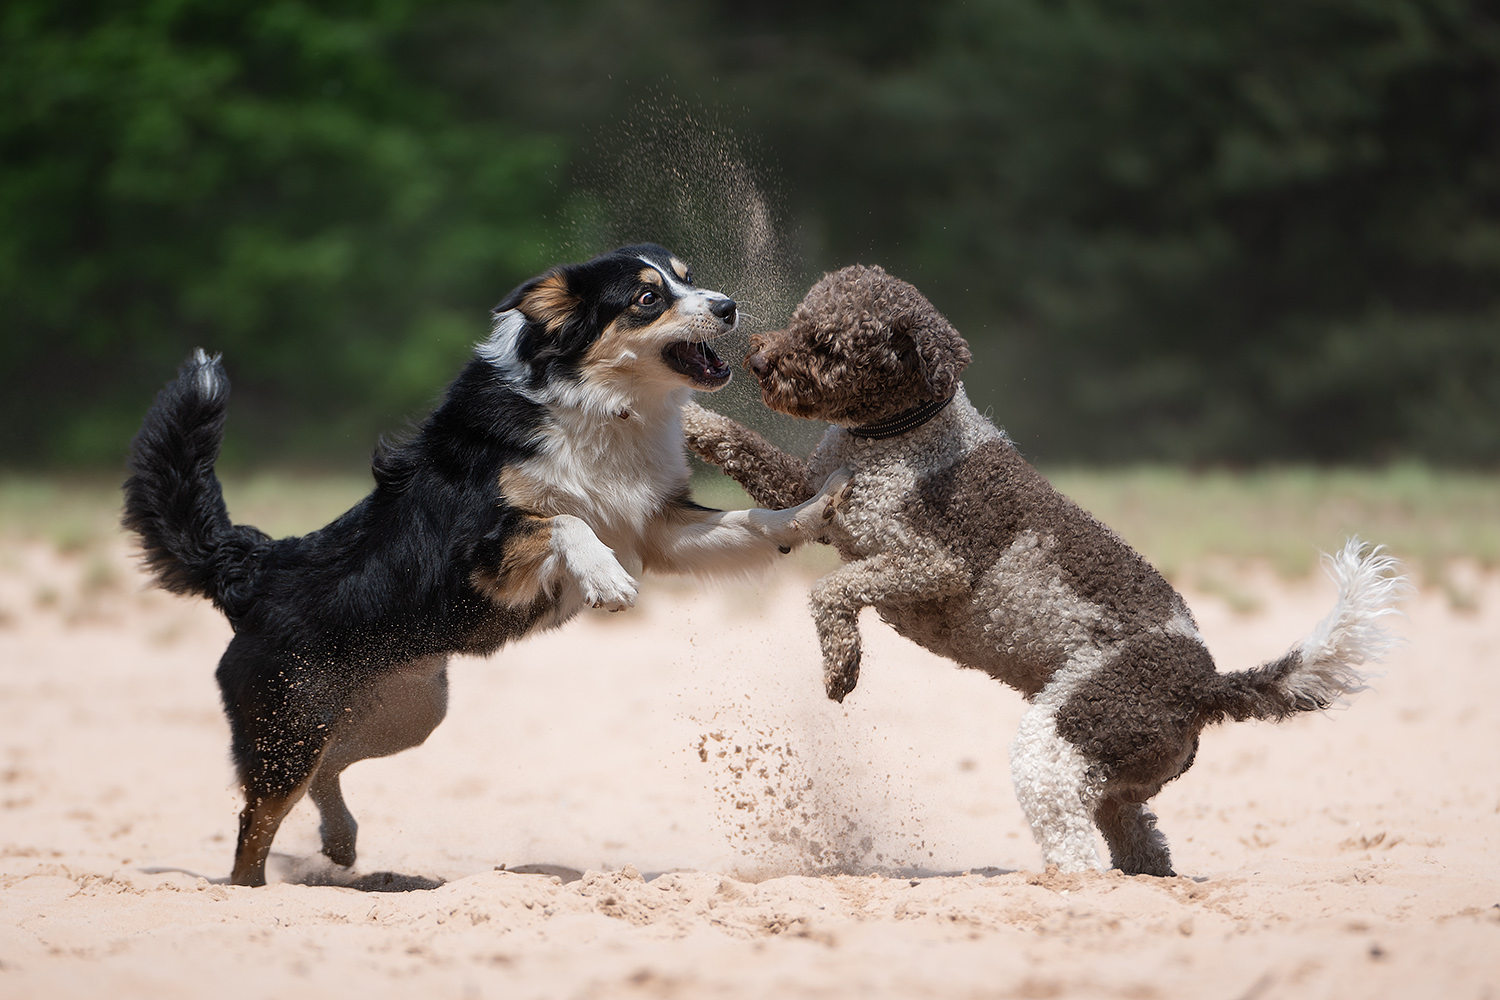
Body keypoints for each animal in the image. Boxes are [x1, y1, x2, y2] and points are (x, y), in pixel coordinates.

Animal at [120, 245, 846, 887]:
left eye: (686, 278)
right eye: (647, 297)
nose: (728, 306)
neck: (596, 405)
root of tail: (253, 566)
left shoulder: (658, 527)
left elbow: (753, 523)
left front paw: (818, 509)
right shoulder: (472, 555)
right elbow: (561, 519)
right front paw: (604, 578)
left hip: (405, 711)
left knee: (326, 772)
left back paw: (341, 841)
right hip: (288, 729)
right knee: (254, 830)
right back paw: (259, 888)